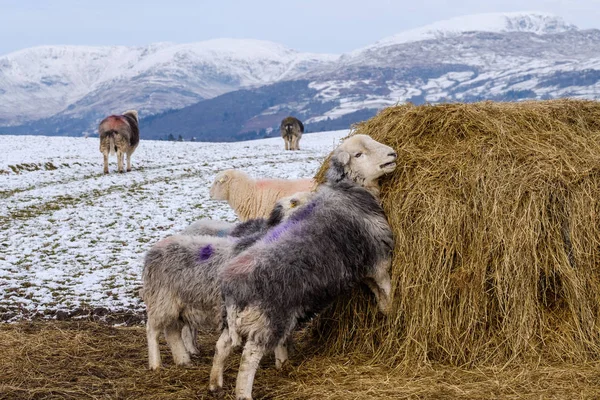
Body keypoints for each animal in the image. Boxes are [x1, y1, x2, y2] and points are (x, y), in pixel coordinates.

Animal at [209, 135, 396, 400]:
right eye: (358, 155)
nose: (392, 154)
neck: (348, 190)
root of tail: (233, 288)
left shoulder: (363, 265)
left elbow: (376, 291)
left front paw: (382, 309)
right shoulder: (379, 259)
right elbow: (386, 288)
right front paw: (391, 310)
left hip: (236, 319)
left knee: (222, 344)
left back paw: (215, 382)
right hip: (268, 318)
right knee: (248, 357)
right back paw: (244, 392)